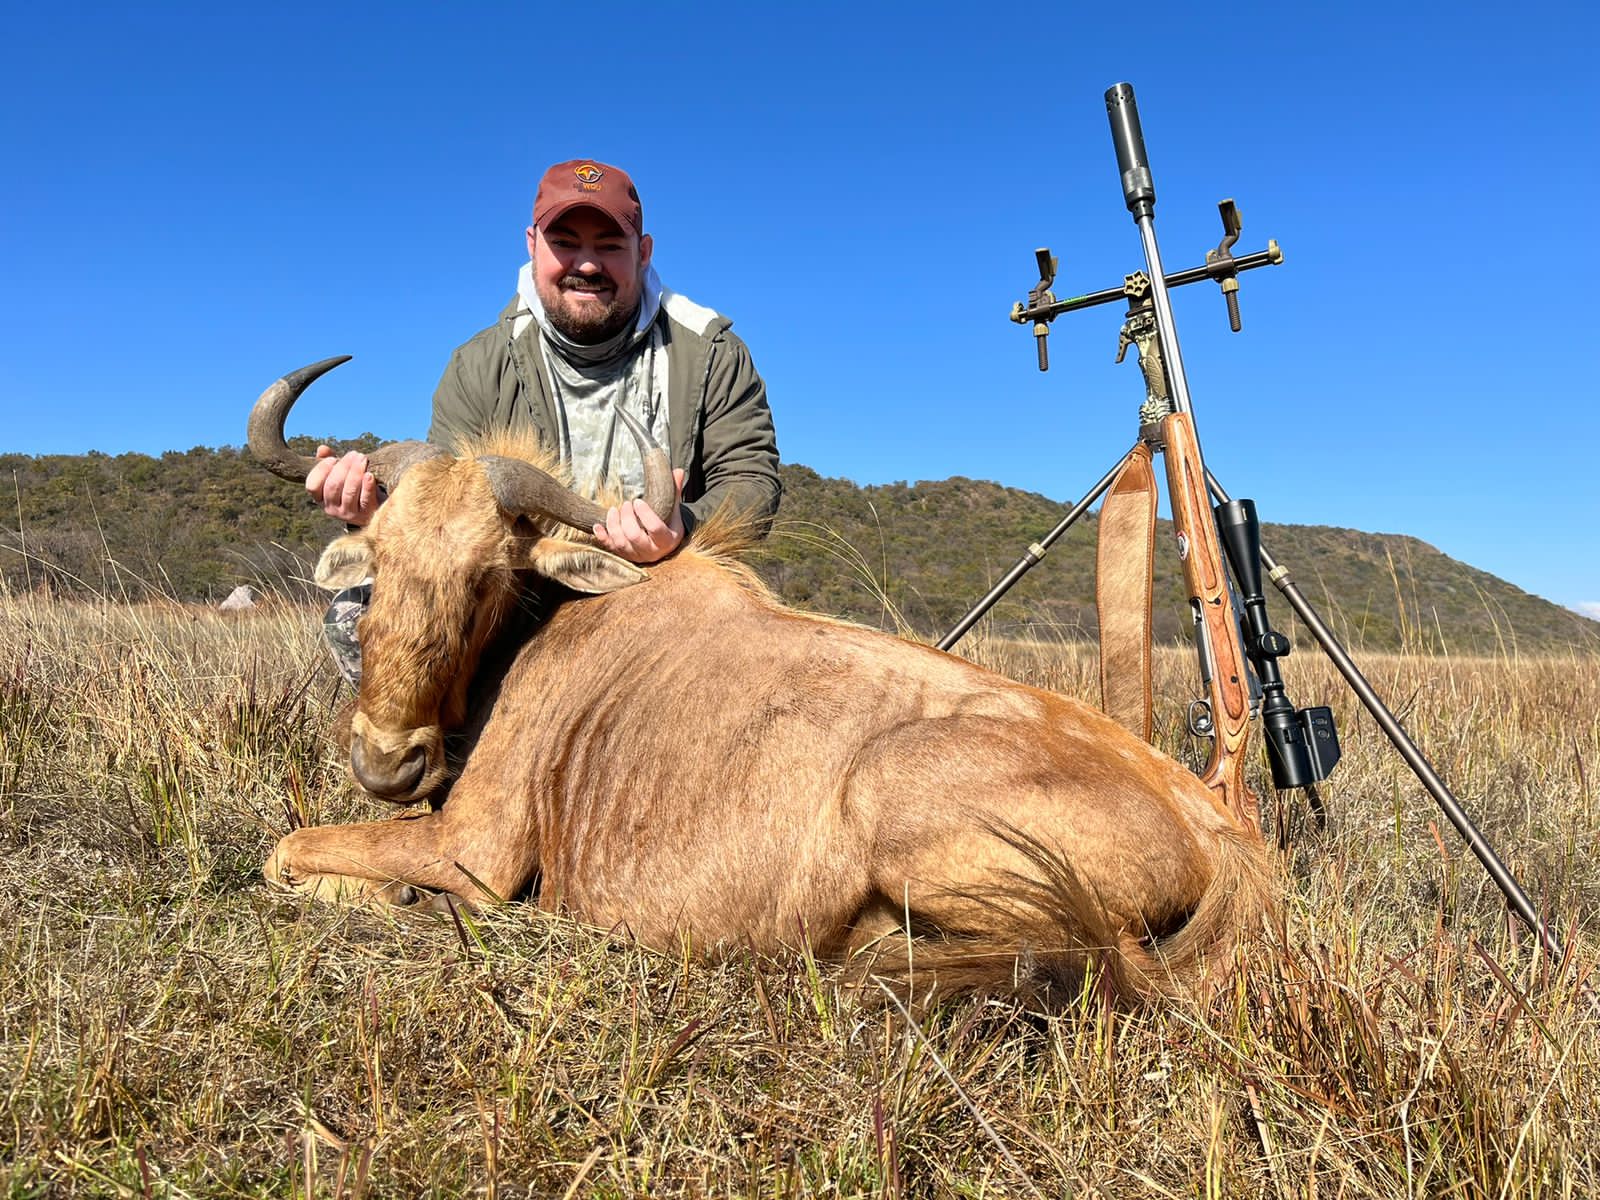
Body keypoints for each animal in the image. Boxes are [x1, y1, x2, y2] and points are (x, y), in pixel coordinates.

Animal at [249, 358, 1274, 1003]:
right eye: (378, 553)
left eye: (491, 573)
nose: (388, 763)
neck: (549, 625)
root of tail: (1217, 831)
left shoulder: (476, 849)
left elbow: (285, 853)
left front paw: (404, 898)